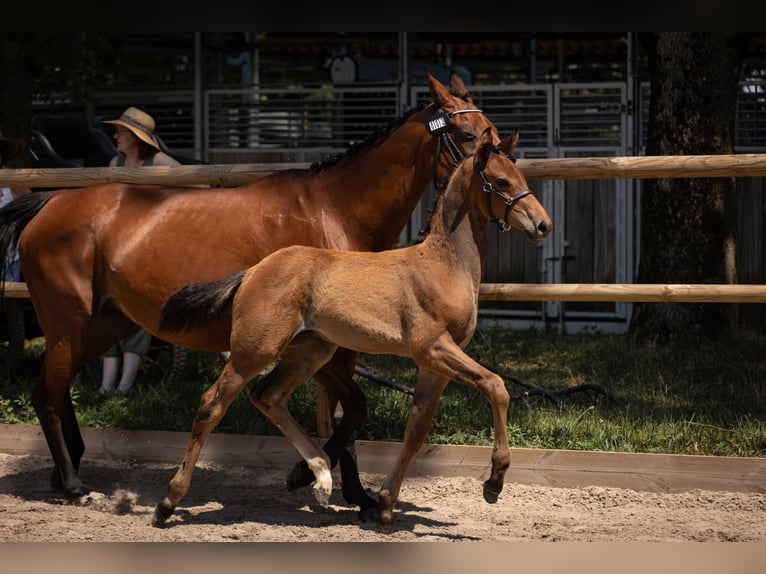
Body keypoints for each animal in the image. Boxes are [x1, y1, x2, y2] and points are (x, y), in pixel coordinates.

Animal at [156, 129, 552, 532]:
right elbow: (496, 386)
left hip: (311, 350)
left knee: (268, 396)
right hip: (254, 350)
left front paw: (386, 504)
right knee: (212, 404)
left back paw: (320, 478)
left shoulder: (435, 364)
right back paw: (168, 502)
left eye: (521, 176)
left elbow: (416, 429)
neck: (444, 266)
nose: (543, 225)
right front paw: (494, 482)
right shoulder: (433, 348)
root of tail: (252, 271)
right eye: (501, 181)